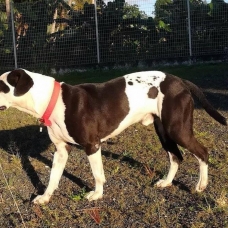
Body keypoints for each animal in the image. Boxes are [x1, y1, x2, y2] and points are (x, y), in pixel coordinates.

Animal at [0, 69, 225, 203]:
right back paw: (167, 182)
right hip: (164, 132)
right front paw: (45, 197)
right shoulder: (61, 151)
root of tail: (179, 80)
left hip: (178, 130)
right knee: (176, 157)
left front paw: (97, 194)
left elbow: (97, 174)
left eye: (1, 86)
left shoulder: (92, 146)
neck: (52, 99)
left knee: (202, 152)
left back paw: (201, 185)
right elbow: (53, 177)